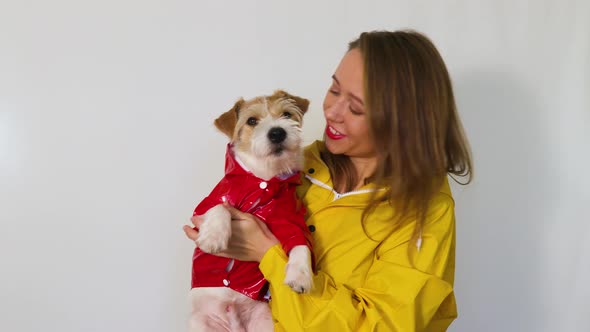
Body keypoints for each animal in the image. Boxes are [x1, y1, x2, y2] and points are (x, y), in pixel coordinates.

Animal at [191, 91, 316, 332]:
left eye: (287, 114)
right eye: (251, 121)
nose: (277, 132)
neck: (264, 178)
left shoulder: (291, 220)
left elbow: (300, 244)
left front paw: (300, 275)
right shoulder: (202, 210)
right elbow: (220, 206)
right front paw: (213, 237)